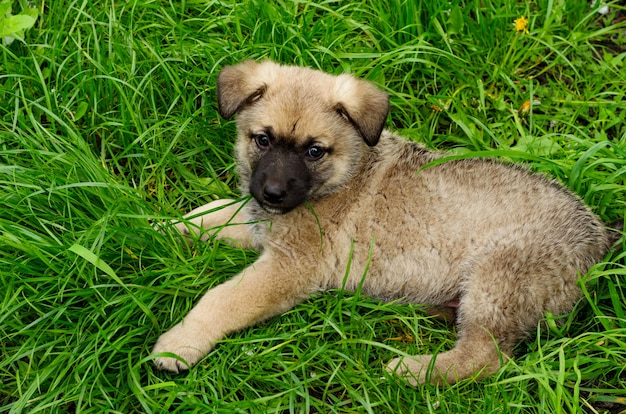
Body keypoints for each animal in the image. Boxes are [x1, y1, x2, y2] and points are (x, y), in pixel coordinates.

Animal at [152, 60, 616, 384]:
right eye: (262, 140)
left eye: (314, 151)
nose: (272, 194)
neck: (343, 177)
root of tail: (598, 241)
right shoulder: (261, 227)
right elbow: (216, 213)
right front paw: (161, 227)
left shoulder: (289, 267)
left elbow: (223, 299)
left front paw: (179, 345)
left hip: (497, 280)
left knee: (485, 358)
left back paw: (412, 372)